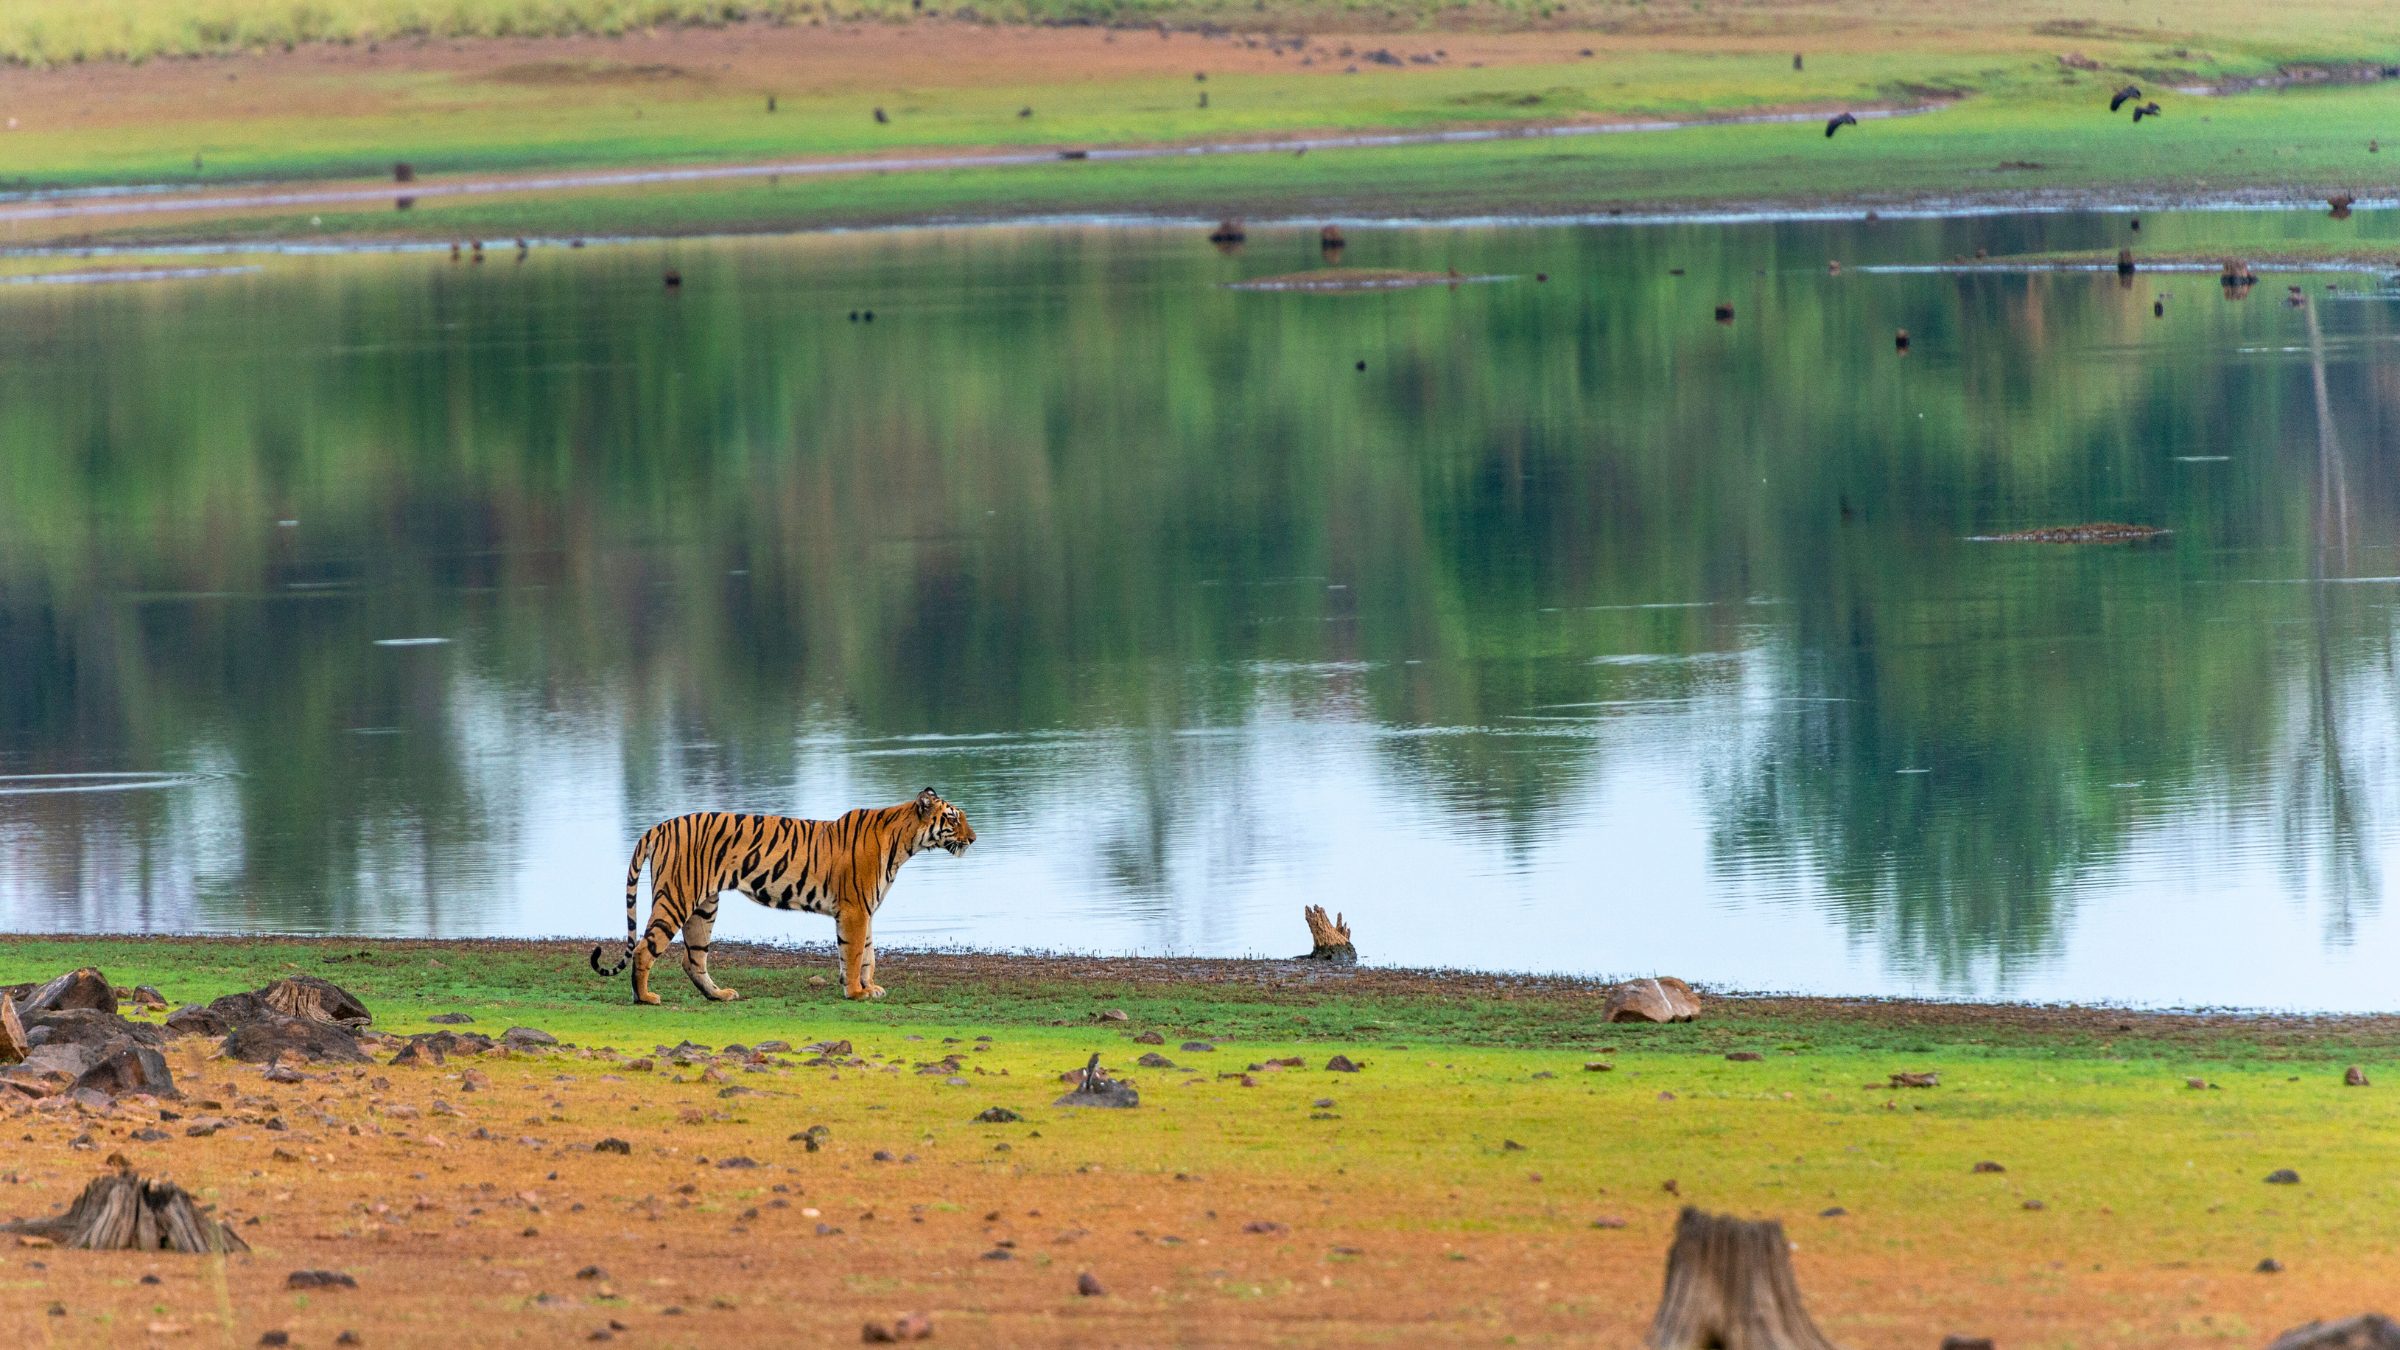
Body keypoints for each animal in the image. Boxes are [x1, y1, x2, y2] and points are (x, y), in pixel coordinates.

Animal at [585, 787, 969, 999]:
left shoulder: (865, 909)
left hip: (704, 906)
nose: (974, 838)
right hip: (676, 898)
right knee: (645, 949)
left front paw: (867, 987)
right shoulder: (855, 910)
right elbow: (855, 952)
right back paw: (646, 997)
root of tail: (660, 826)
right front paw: (856, 993)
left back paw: (719, 996)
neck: (905, 842)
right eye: (953, 818)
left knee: (692, 959)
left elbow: (867, 954)